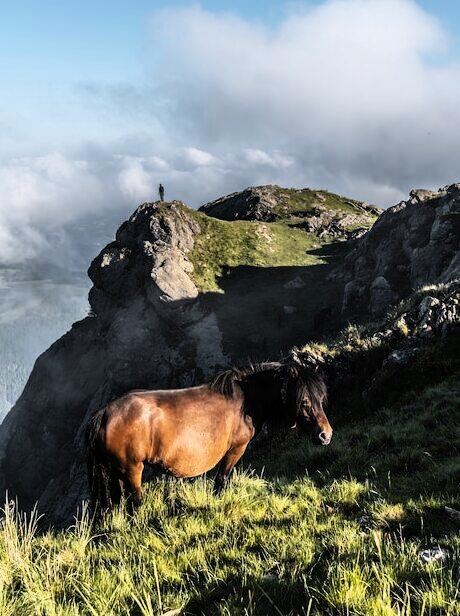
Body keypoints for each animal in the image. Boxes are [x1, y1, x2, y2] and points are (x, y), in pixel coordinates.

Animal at [84, 360, 332, 516]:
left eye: (321, 399)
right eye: (304, 401)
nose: (325, 435)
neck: (245, 399)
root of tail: (105, 412)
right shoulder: (236, 449)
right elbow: (222, 480)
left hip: (118, 472)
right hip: (132, 470)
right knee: (134, 502)